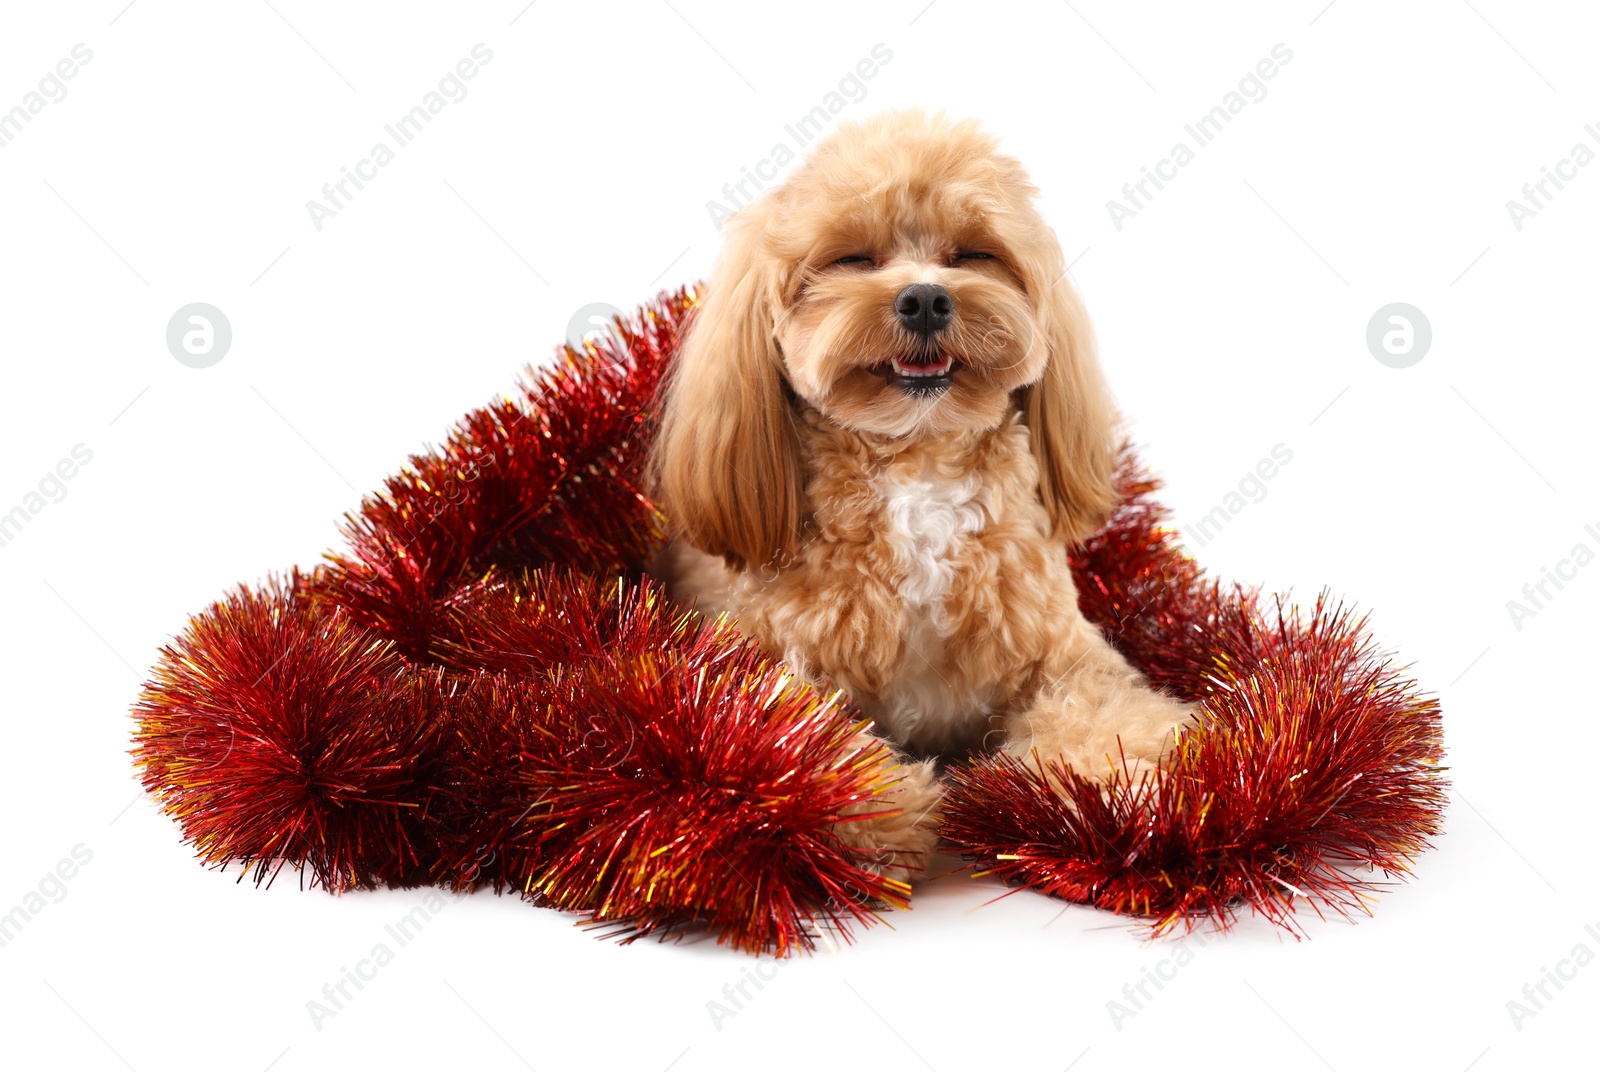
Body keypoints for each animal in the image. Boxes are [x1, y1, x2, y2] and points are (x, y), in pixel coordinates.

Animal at [646, 108, 1190, 889]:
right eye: (853, 259)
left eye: (974, 254)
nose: (927, 297)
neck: (918, 465)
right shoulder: (771, 662)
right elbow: (789, 733)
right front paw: (873, 806)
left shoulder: (1064, 651)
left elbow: (1104, 710)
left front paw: (1112, 784)